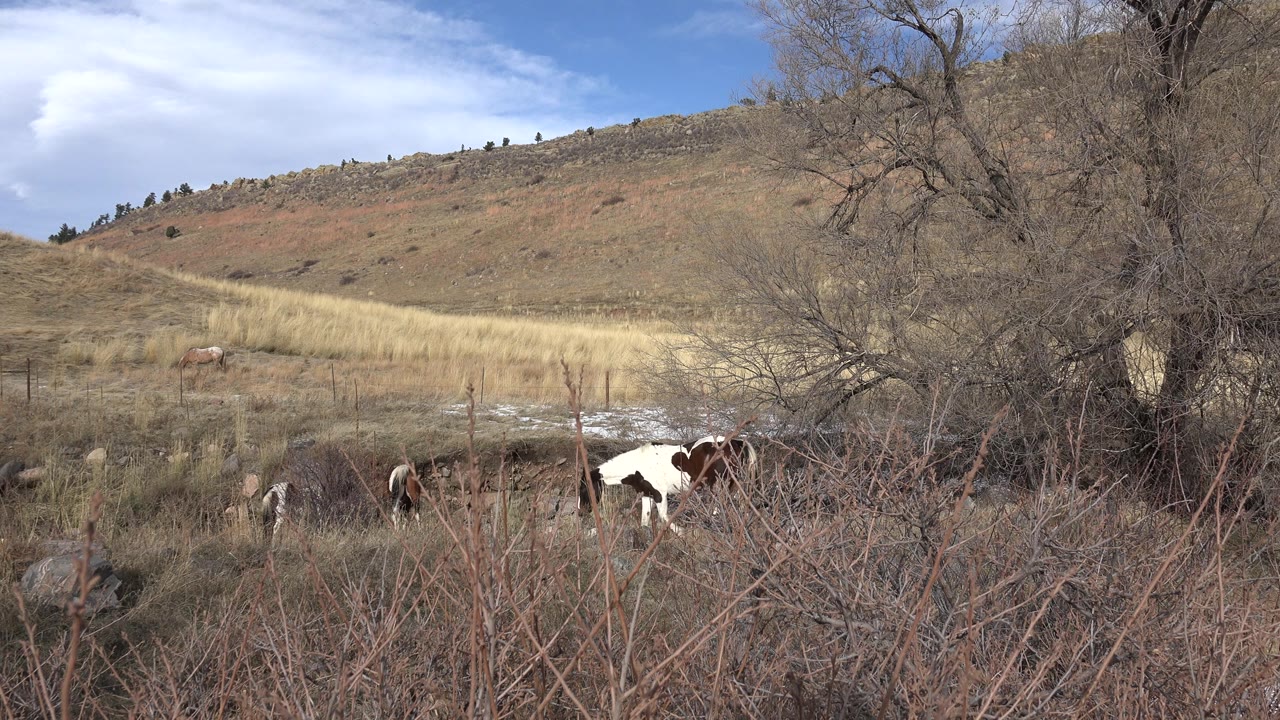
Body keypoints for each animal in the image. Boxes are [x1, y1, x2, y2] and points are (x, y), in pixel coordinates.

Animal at [579, 435, 758, 535]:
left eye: (583, 488)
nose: (580, 513)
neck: (639, 464)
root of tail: (736, 442)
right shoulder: (647, 495)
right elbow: (645, 520)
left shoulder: (660, 495)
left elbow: (664, 518)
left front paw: (682, 533)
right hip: (735, 487)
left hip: (719, 487)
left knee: (718, 510)